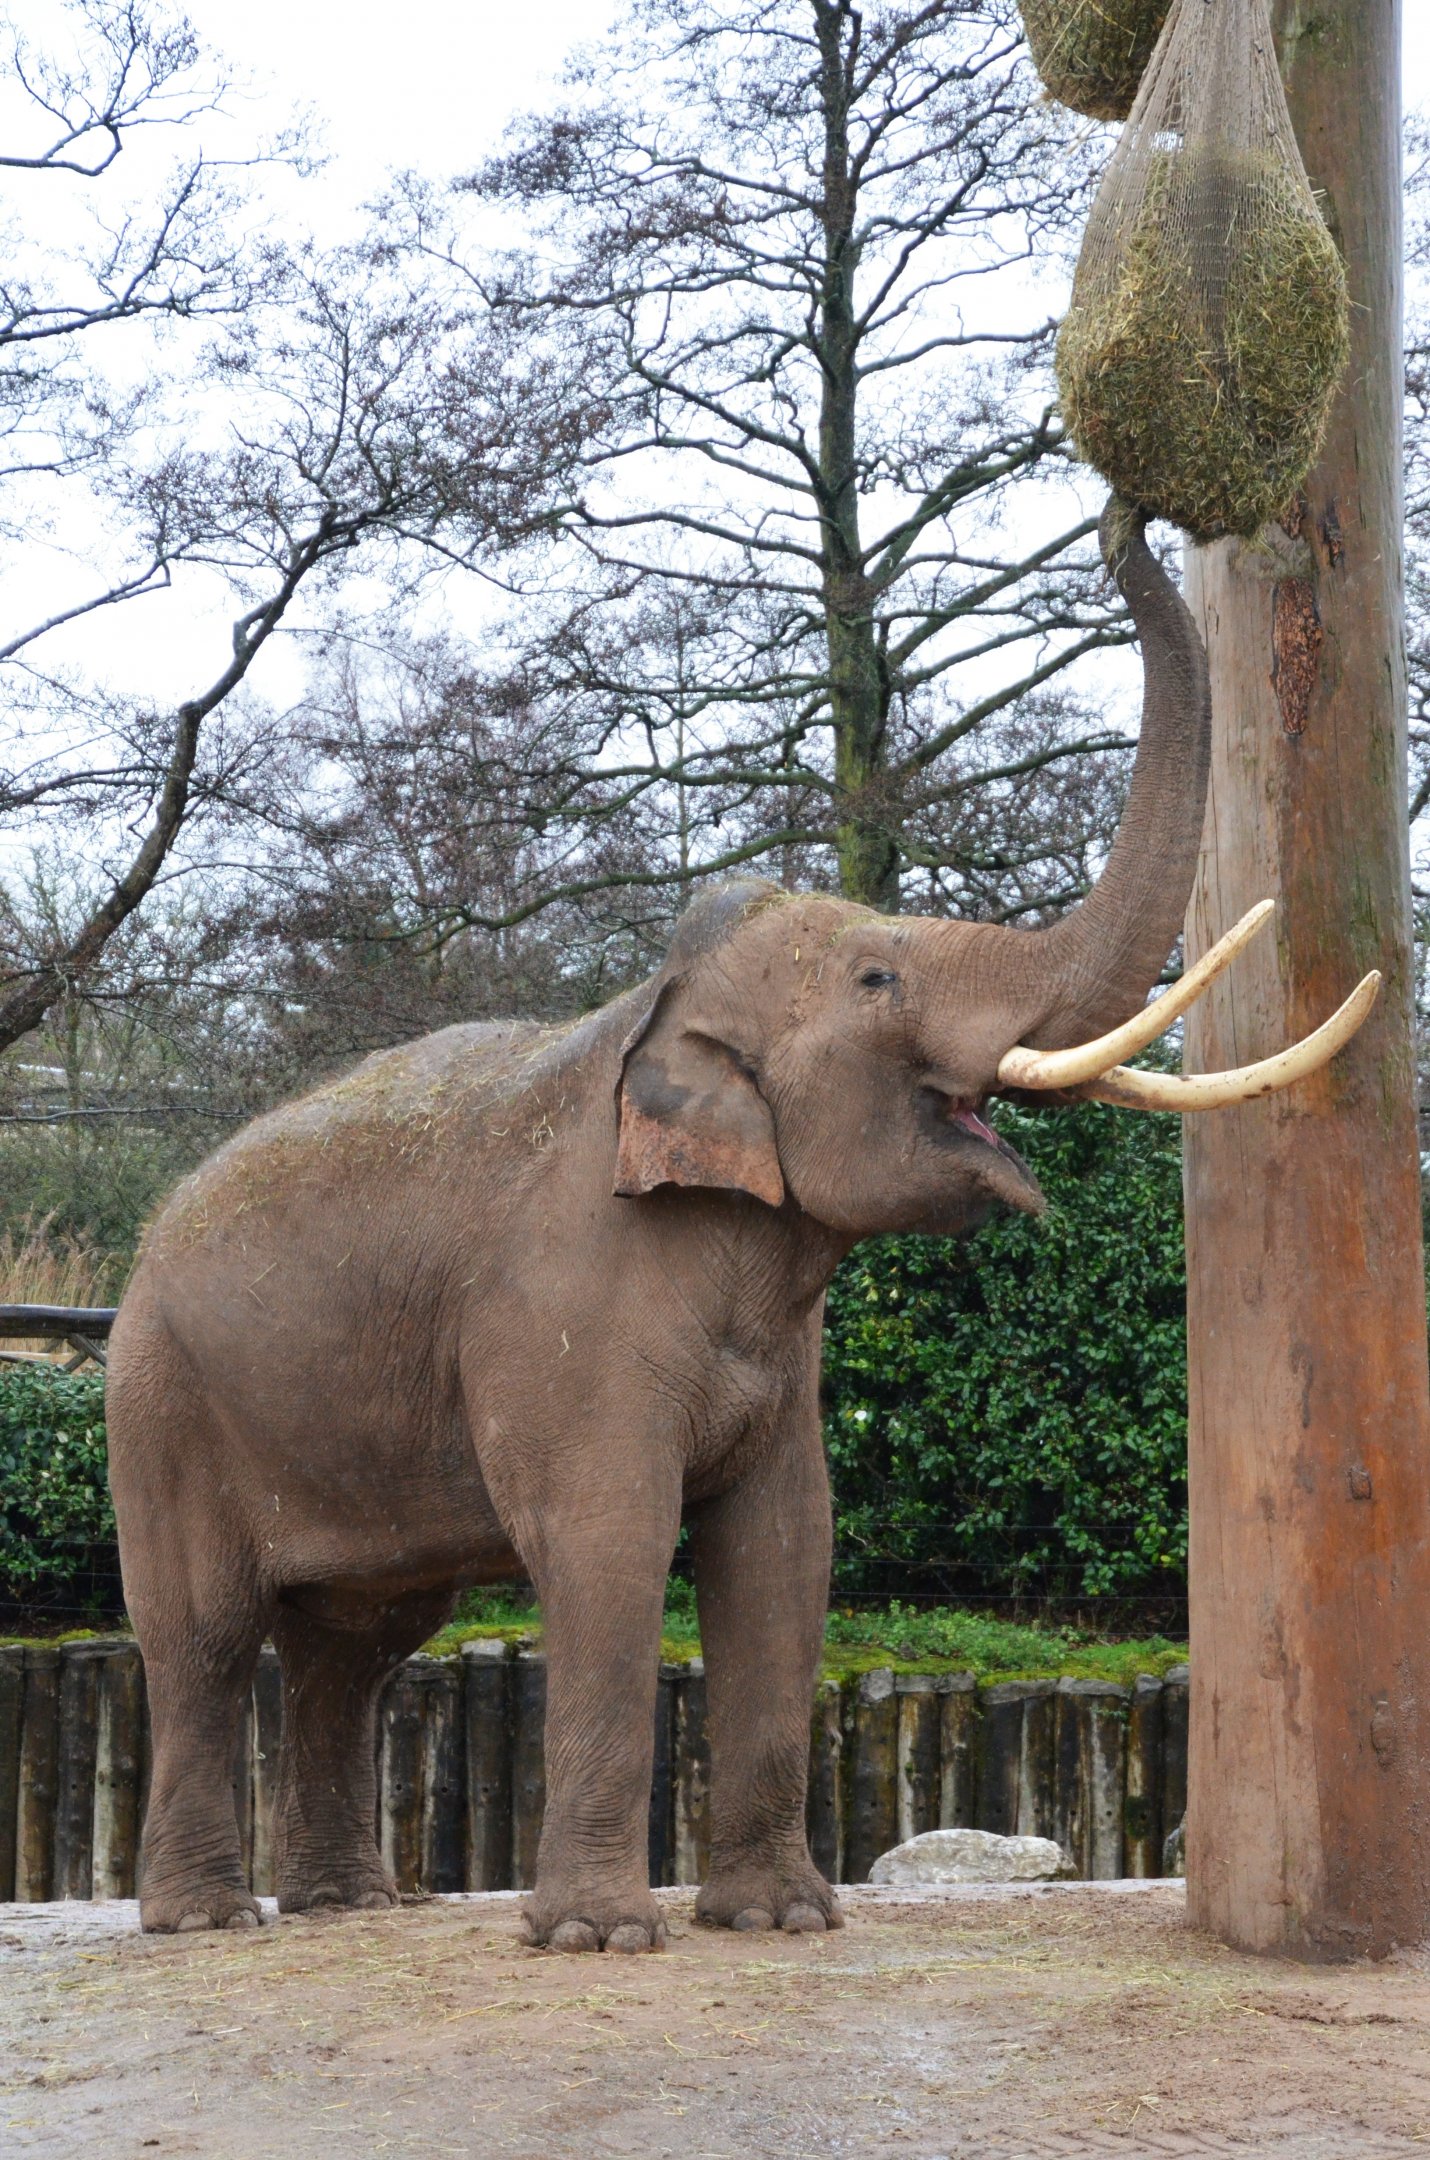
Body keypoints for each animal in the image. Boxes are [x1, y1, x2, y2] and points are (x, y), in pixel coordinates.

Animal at [105, 498, 1373, 1947]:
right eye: (878, 979)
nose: (1122, 510)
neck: (659, 1009)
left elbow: (785, 1546)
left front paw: (778, 1921)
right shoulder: (564, 1301)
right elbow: (606, 1540)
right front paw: (601, 1939)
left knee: (353, 1641)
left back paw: (342, 1909)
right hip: (161, 1400)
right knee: (203, 1635)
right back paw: (207, 1922)